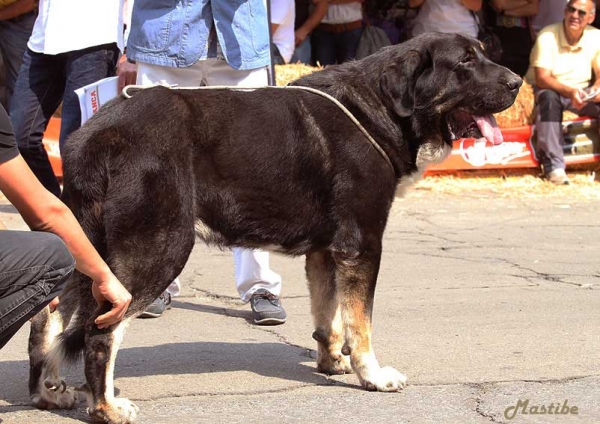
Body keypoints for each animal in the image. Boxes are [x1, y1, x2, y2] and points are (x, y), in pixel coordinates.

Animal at [27, 34, 520, 424]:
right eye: (466, 63)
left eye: (482, 53)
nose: (517, 81)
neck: (375, 108)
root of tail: (97, 133)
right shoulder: (362, 245)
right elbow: (360, 323)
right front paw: (373, 376)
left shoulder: (326, 251)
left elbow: (329, 317)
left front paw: (330, 363)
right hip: (158, 247)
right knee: (100, 330)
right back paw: (106, 408)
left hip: (86, 244)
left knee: (47, 317)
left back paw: (49, 393)